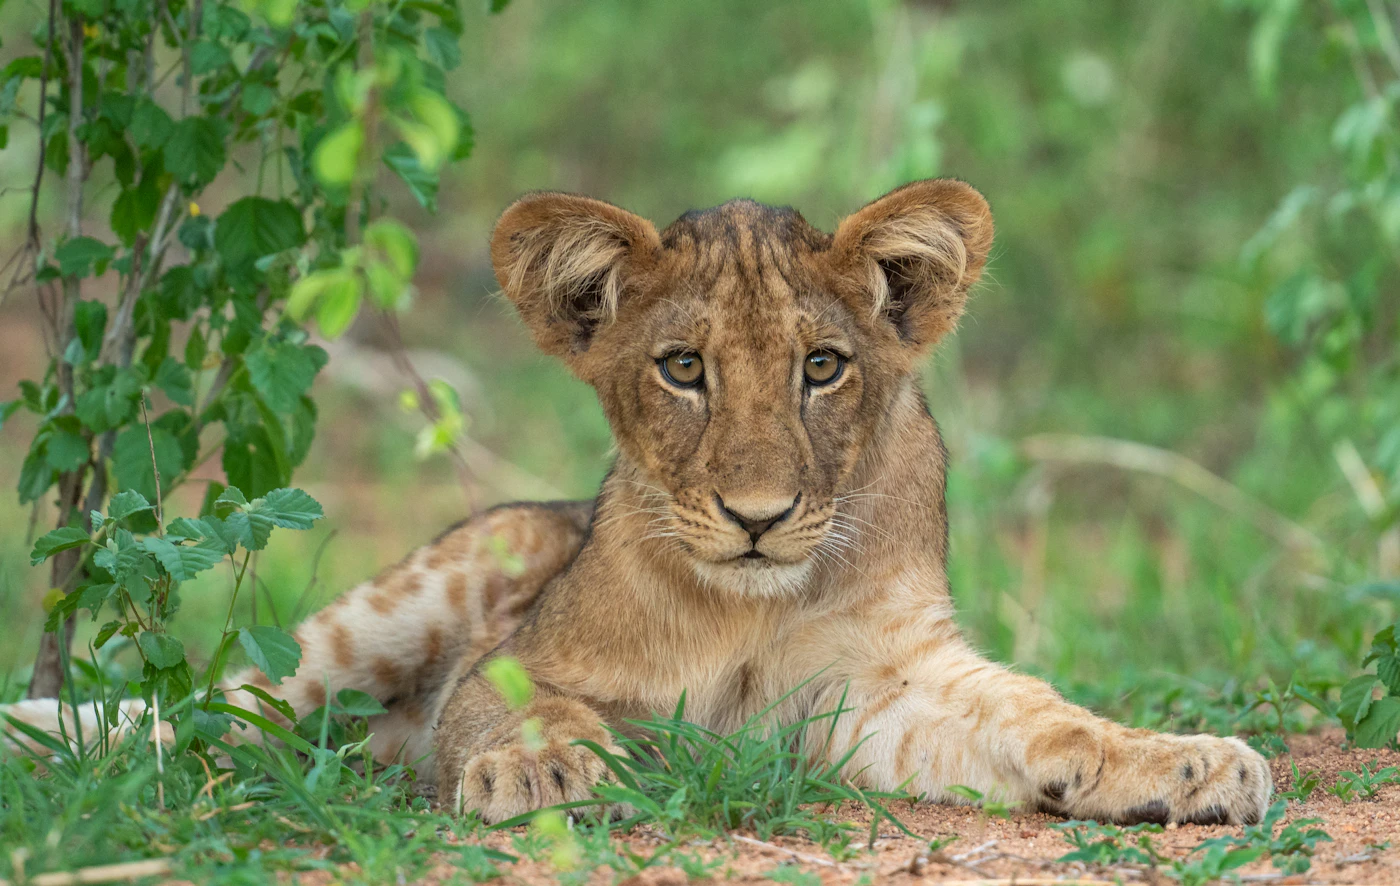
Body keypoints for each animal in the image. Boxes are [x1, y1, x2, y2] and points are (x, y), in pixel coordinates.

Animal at [5, 180, 1271, 827]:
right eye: (683, 368)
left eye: (821, 367)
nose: (757, 515)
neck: (752, 603)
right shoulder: (518, 654)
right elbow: (518, 702)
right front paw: (539, 771)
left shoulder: (879, 691)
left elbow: (1041, 713)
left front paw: (1187, 764)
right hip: (444, 575)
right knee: (218, 711)